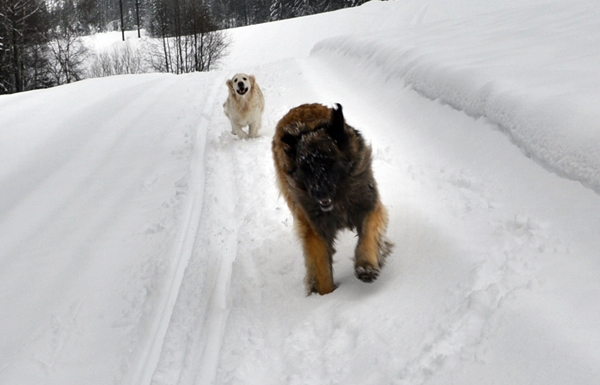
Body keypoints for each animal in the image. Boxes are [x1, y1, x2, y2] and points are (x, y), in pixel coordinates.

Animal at [272, 103, 394, 294]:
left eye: (329, 162)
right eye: (305, 167)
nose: (319, 192)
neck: (338, 199)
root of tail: (300, 107)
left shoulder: (368, 206)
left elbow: (369, 234)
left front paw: (366, 265)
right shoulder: (315, 229)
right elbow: (321, 267)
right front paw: (328, 296)